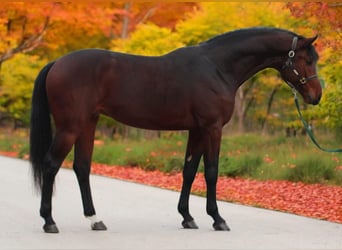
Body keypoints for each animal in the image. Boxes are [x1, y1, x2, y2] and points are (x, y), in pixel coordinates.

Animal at [28, 26, 320, 232]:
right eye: (307, 60)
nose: (316, 96)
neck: (217, 67)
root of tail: (56, 63)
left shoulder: (197, 130)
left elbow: (189, 170)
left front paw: (187, 217)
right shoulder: (212, 128)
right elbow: (211, 171)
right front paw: (217, 219)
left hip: (88, 123)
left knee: (82, 167)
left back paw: (95, 220)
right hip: (70, 127)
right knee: (51, 165)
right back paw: (49, 221)